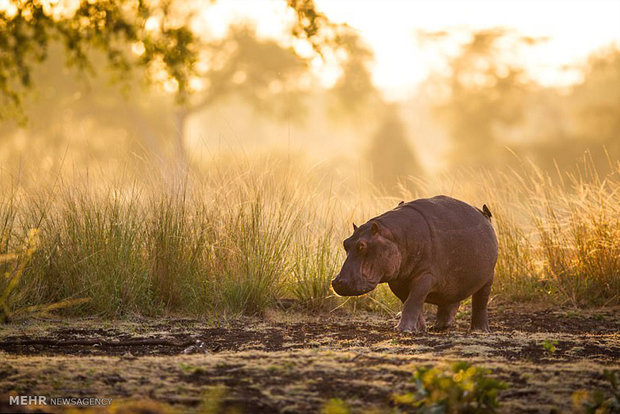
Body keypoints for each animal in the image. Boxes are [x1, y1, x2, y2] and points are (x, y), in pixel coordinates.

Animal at [332, 195, 496, 334]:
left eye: (362, 245)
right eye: (345, 243)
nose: (338, 282)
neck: (394, 236)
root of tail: (485, 215)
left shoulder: (426, 275)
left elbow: (413, 300)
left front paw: (402, 329)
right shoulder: (398, 281)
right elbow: (410, 302)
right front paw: (419, 329)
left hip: (488, 278)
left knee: (480, 302)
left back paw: (480, 330)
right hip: (455, 280)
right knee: (450, 299)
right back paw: (440, 326)